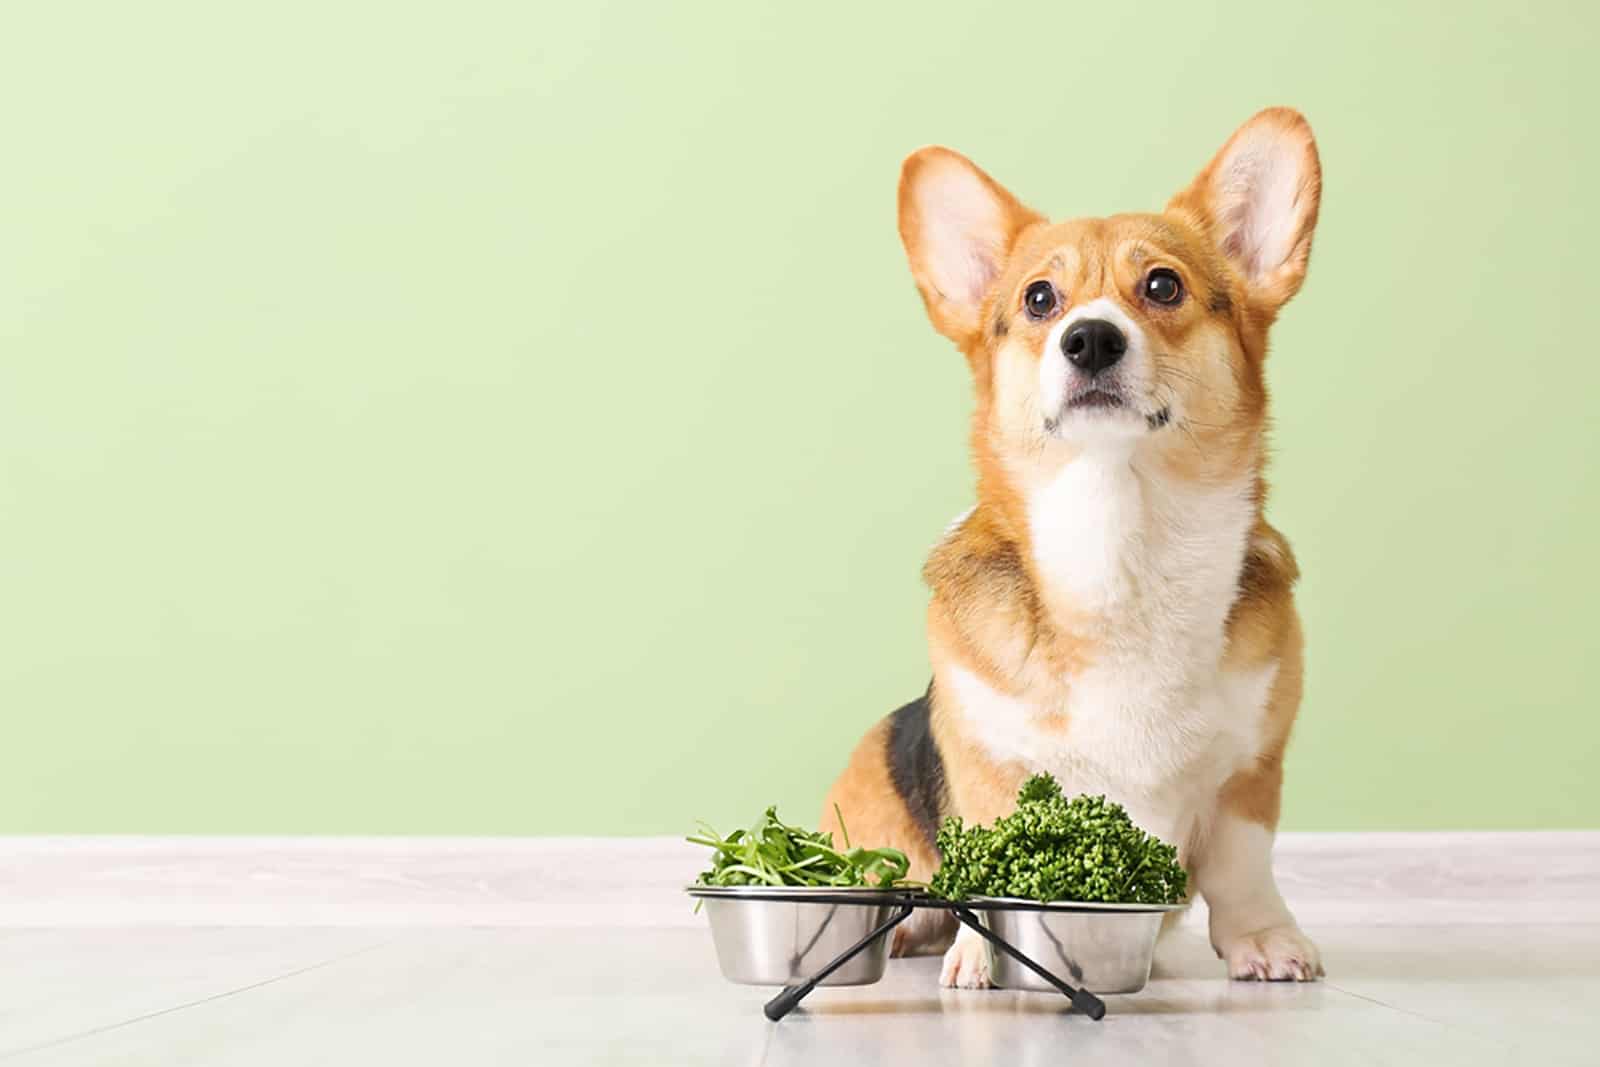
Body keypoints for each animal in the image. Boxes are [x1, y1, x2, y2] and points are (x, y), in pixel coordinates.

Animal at [825, 108, 1324, 985]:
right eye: (1039, 299)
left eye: (1162, 285)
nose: (1088, 339)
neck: (1119, 533)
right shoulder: (992, 764)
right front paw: (981, 958)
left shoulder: (1250, 769)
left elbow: (1242, 866)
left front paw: (1264, 939)